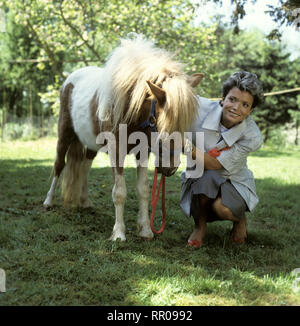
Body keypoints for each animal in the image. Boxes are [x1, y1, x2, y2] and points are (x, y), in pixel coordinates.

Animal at [43, 34, 203, 241]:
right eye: (161, 125)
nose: (169, 169)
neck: (129, 109)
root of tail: (69, 80)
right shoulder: (116, 152)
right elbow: (119, 192)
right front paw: (119, 233)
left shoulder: (142, 152)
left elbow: (143, 189)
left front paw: (145, 230)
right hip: (64, 135)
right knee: (59, 165)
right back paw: (48, 201)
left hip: (91, 144)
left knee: (85, 166)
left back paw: (85, 201)